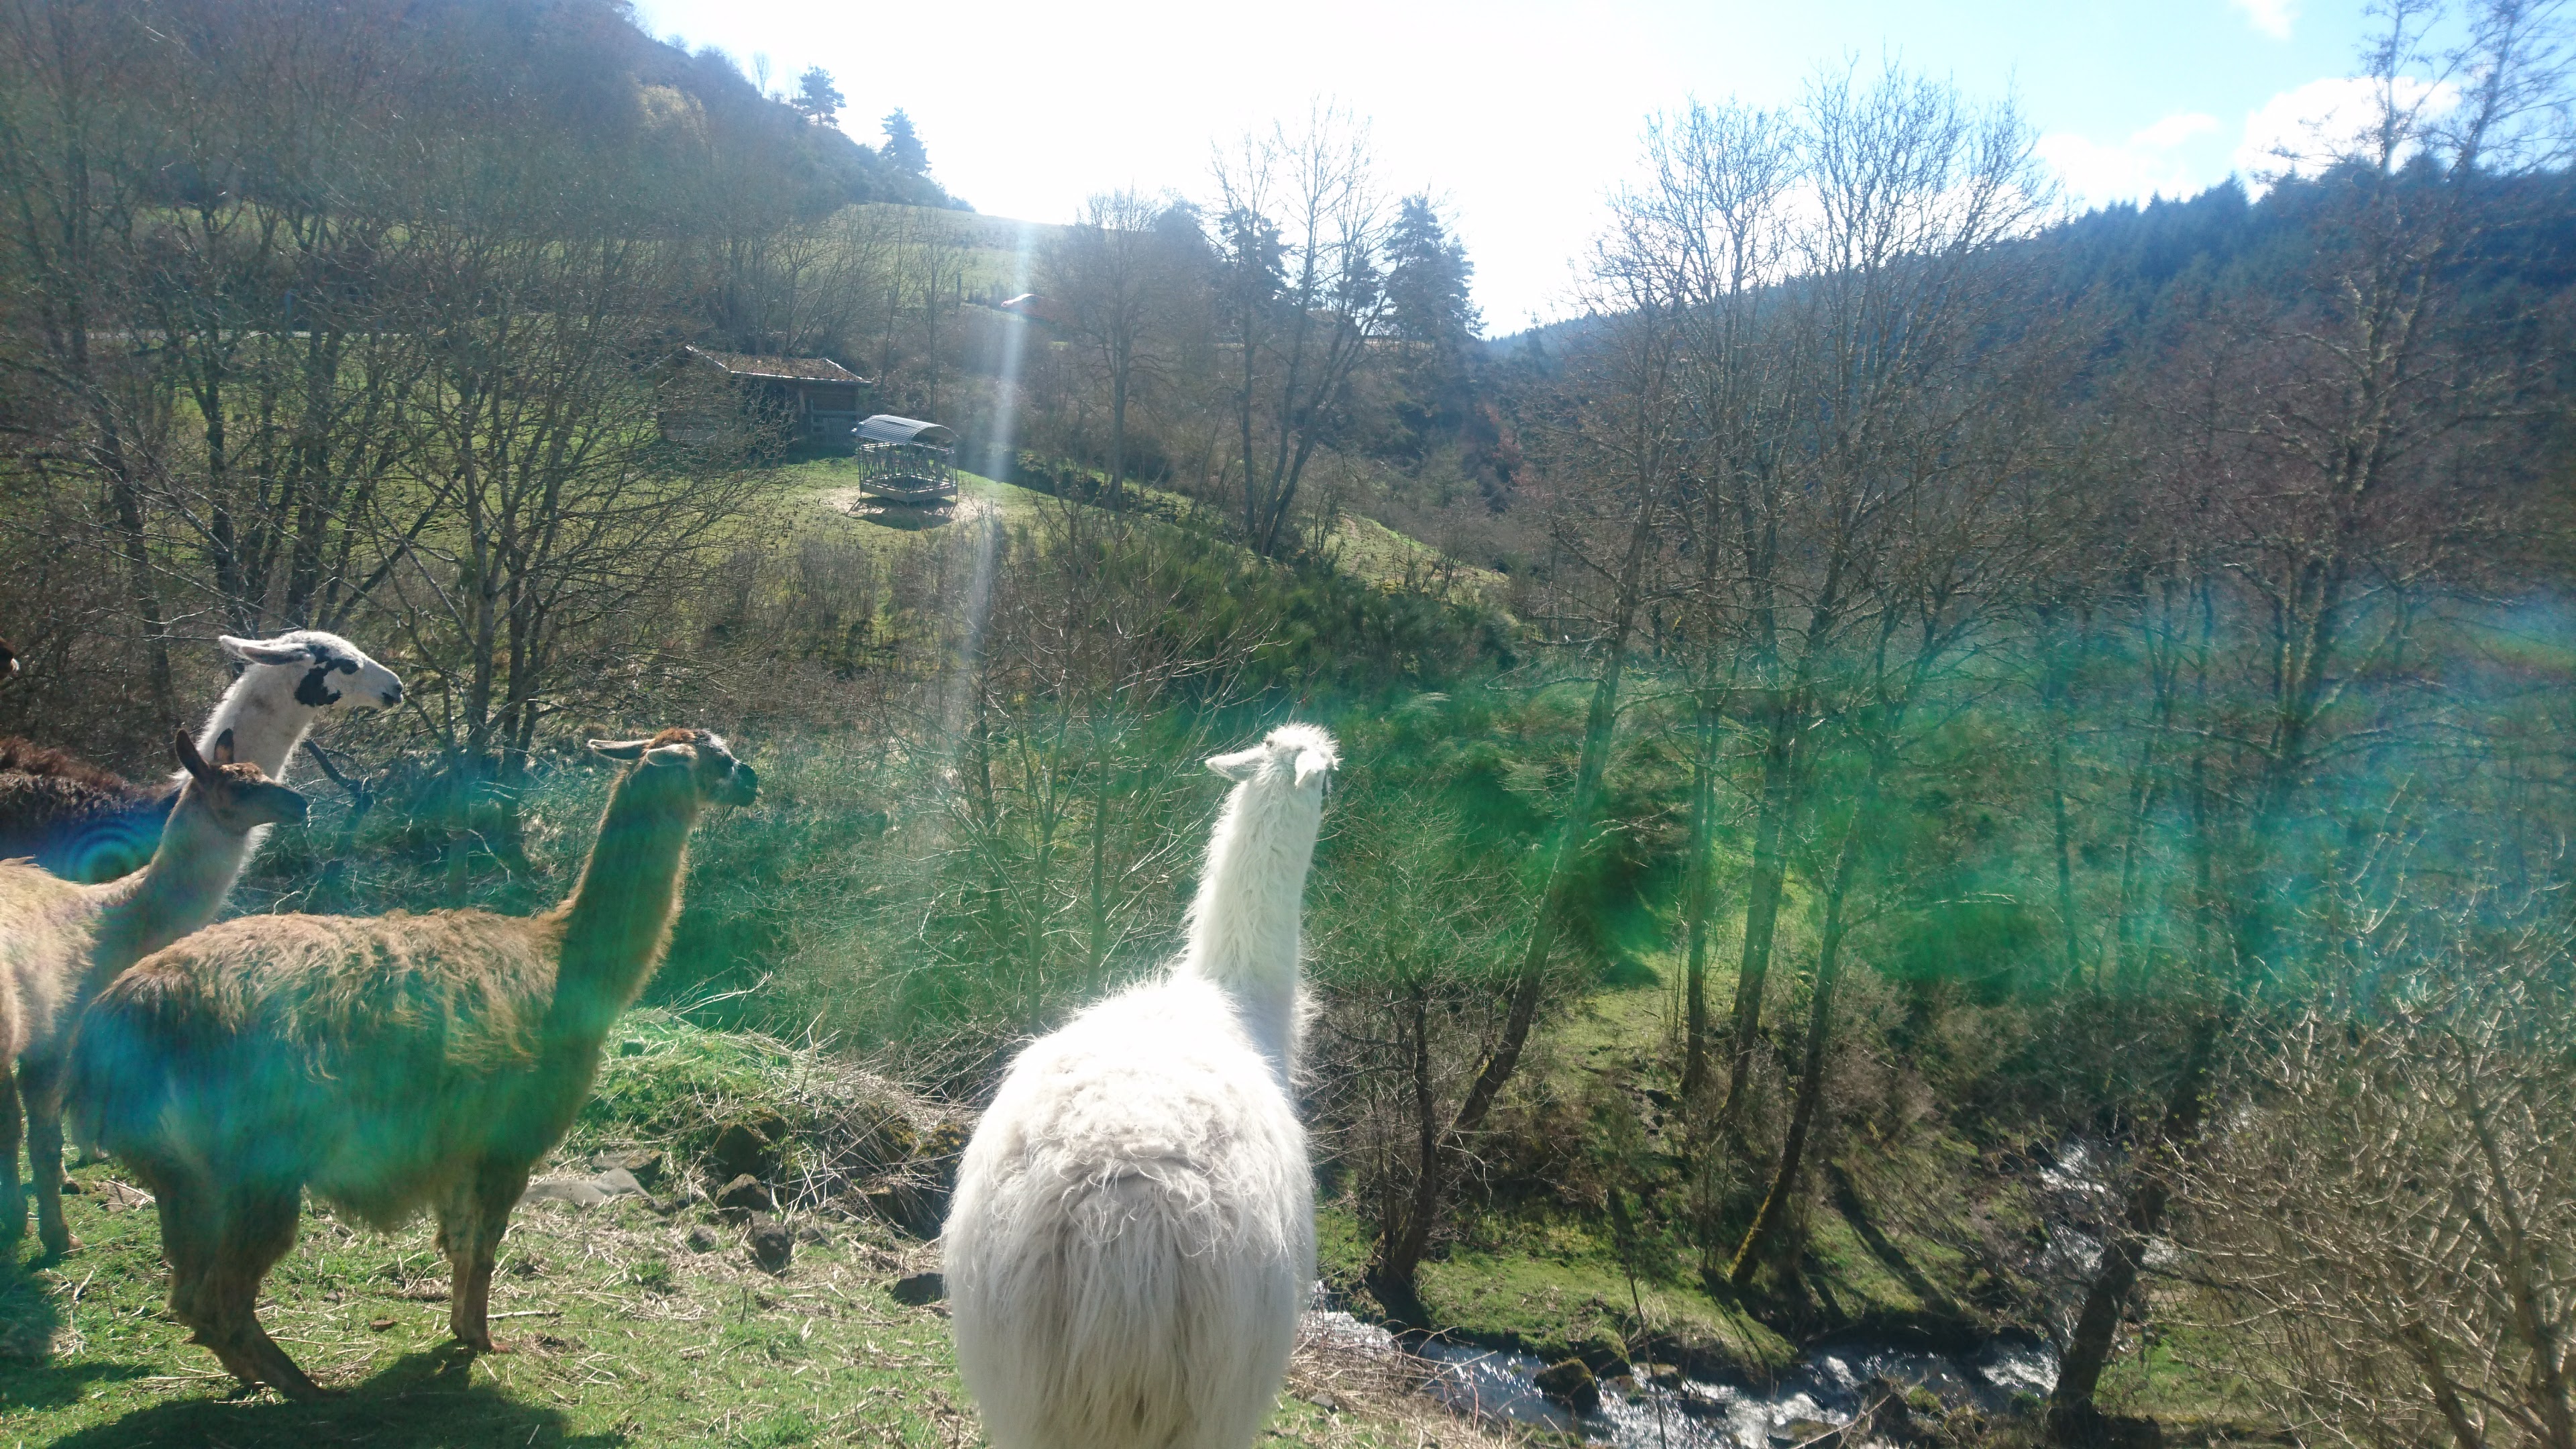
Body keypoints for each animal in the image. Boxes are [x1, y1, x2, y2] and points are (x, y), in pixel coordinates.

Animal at [0, 730, 307, 1255]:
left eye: (263, 772)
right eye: (240, 788)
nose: (300, 803)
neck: (114, 923)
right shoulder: (55, 1029)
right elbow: (39, 1133)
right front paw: (57, 1236)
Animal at [71, 728, 757, 1399]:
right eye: (719, 756)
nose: (751, 778)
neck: (562, 958)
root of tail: (127, 1012)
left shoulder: (455, 1147)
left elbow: (456, 1242)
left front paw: (461, 1331)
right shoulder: (507, 1140)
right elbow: (484, 1245)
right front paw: (483, 1340)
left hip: (183, 1176)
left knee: (189, 1295)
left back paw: (256, 1378)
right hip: (256, 1165)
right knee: (223, 1298)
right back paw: (309, 1392)